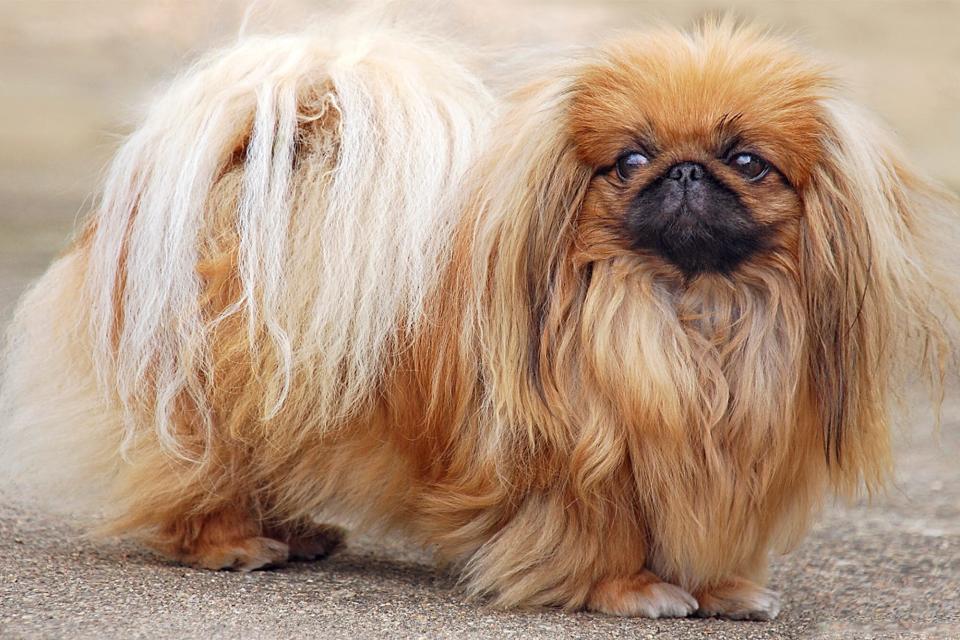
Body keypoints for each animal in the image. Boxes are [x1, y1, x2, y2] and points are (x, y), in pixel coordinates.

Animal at [1, 20, 960, 620]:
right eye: (631, 160)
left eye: (748, 161)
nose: (685, 173)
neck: (690, 314)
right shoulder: (586, 463)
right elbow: (602, 533)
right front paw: (632, 590)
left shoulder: (721, 458)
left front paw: (724, 591)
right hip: (216, 404)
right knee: (190, 476)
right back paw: (233, 544)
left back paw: (295, 531)